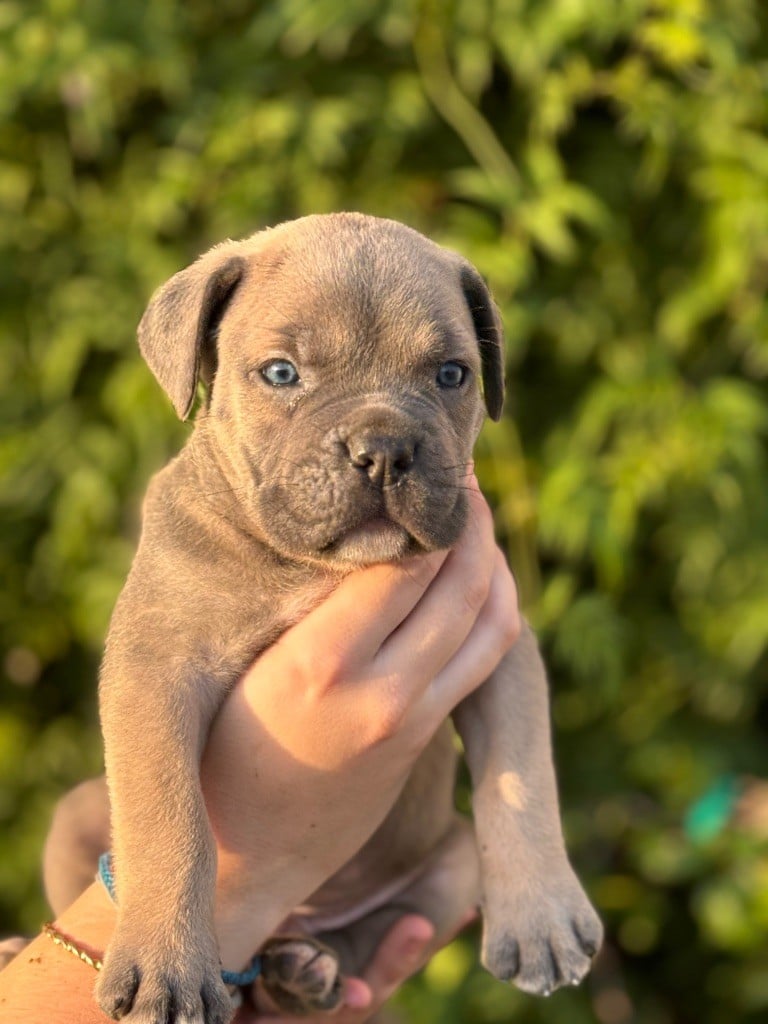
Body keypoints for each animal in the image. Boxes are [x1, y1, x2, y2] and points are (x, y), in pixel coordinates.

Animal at [45, 211, 606, 1019]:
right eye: (281, 374)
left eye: (451, 375)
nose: (384, 449)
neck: (318, 569)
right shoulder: (156, 670)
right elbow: (169, 820)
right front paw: (166, 964)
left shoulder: (502, 647)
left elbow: (523, 779)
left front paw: (543, 921)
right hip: (75, 815)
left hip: (450, 862)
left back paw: (306, 971)